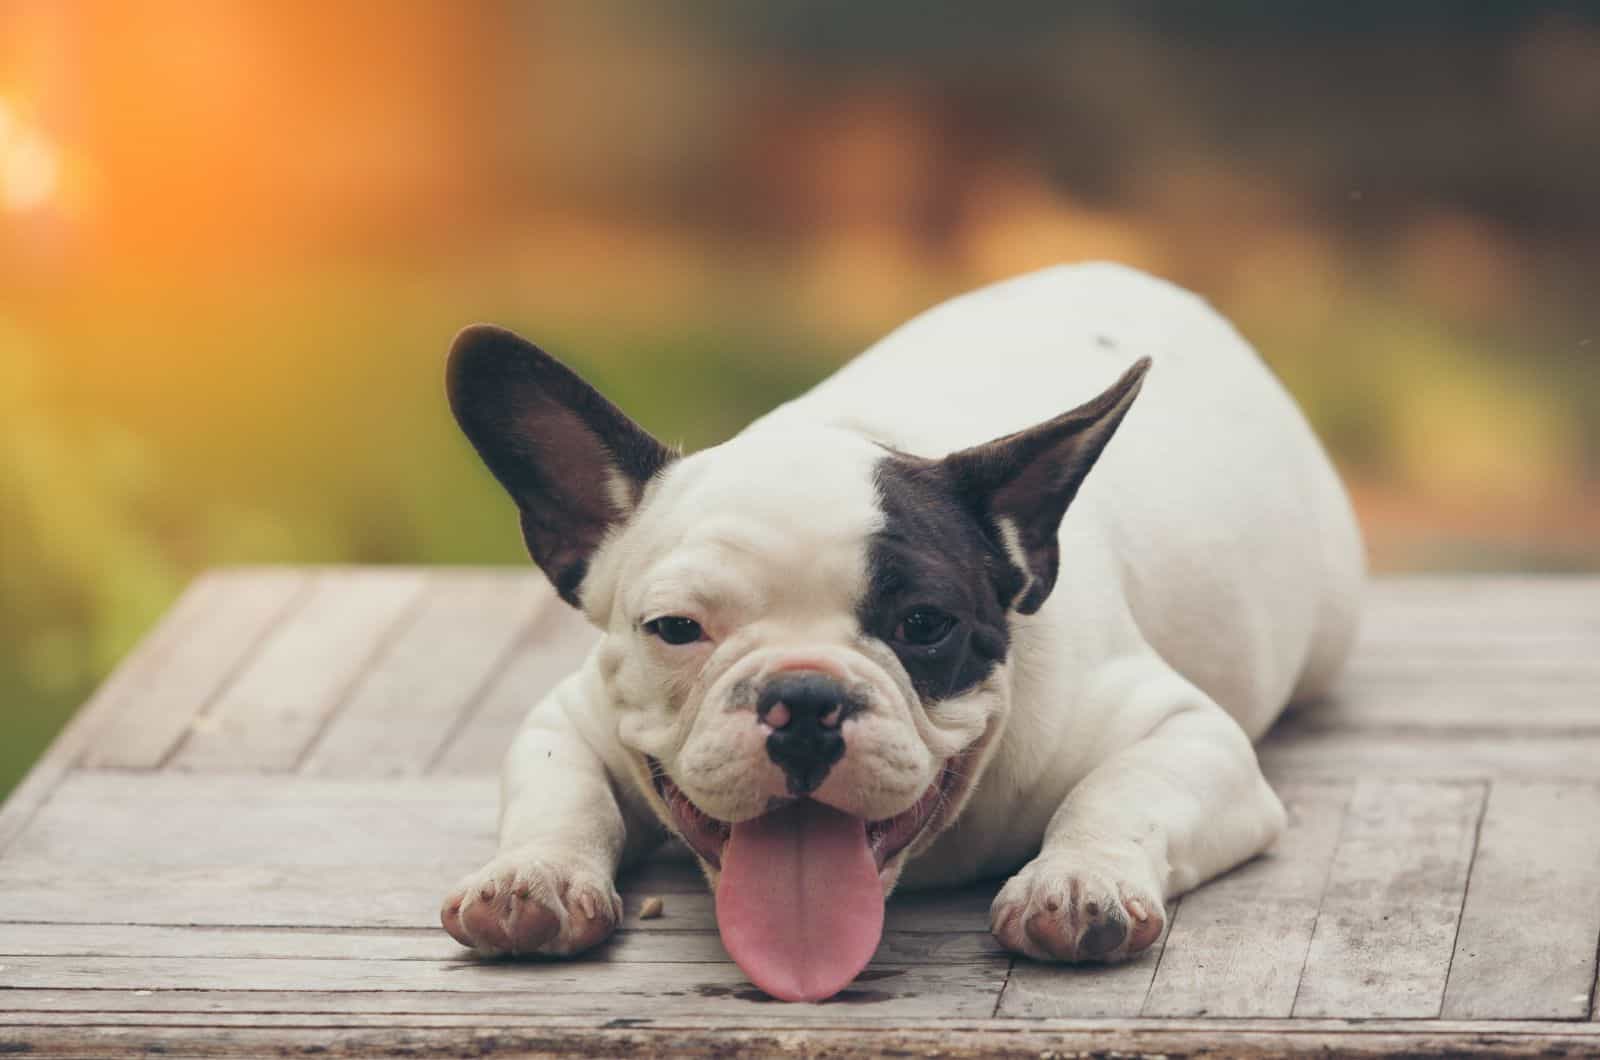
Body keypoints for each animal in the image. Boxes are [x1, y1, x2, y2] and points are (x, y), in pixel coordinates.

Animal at [438, 264, 1363, 1005]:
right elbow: (562, 790)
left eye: (924, 625)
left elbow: (1122, 789)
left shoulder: (1187, 731)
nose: (804, 698)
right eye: (675, 628)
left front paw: (1076, 878)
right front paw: (534, 874)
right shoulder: (573, 716)